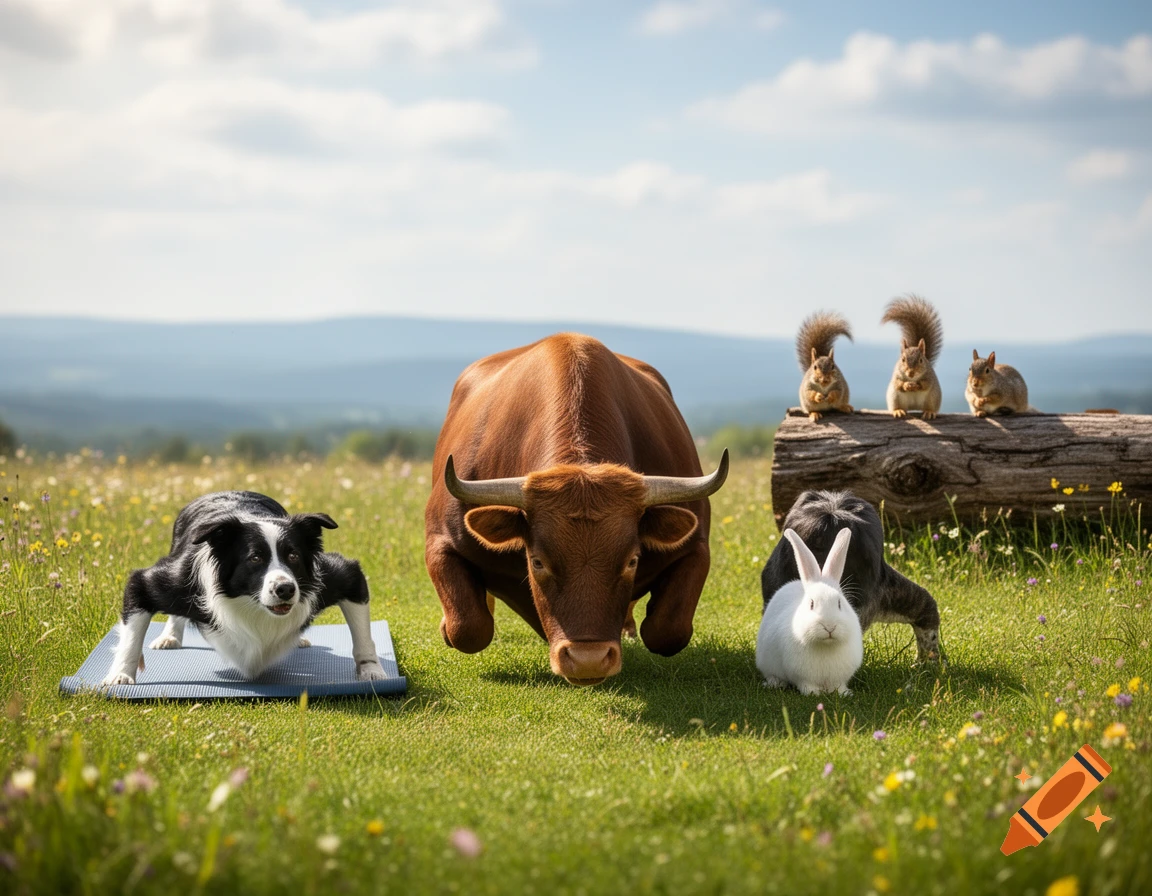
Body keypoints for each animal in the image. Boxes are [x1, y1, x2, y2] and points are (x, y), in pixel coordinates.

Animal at [424, 333, 729, 686]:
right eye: (537, 561)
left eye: (632, 560)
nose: (588, 661)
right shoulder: (440, 542)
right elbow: (468, 627)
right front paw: (448, 626)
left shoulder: (696, 548)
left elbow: (668, 630)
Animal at [756, 528, 863, 696]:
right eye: (811, 604)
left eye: (839, 603)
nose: (829, 627)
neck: (826, 645)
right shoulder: (803, 677)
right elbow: (807, 685)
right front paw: (814, 694)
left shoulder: (838, 679)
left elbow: (838, 685)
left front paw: (844, 693)